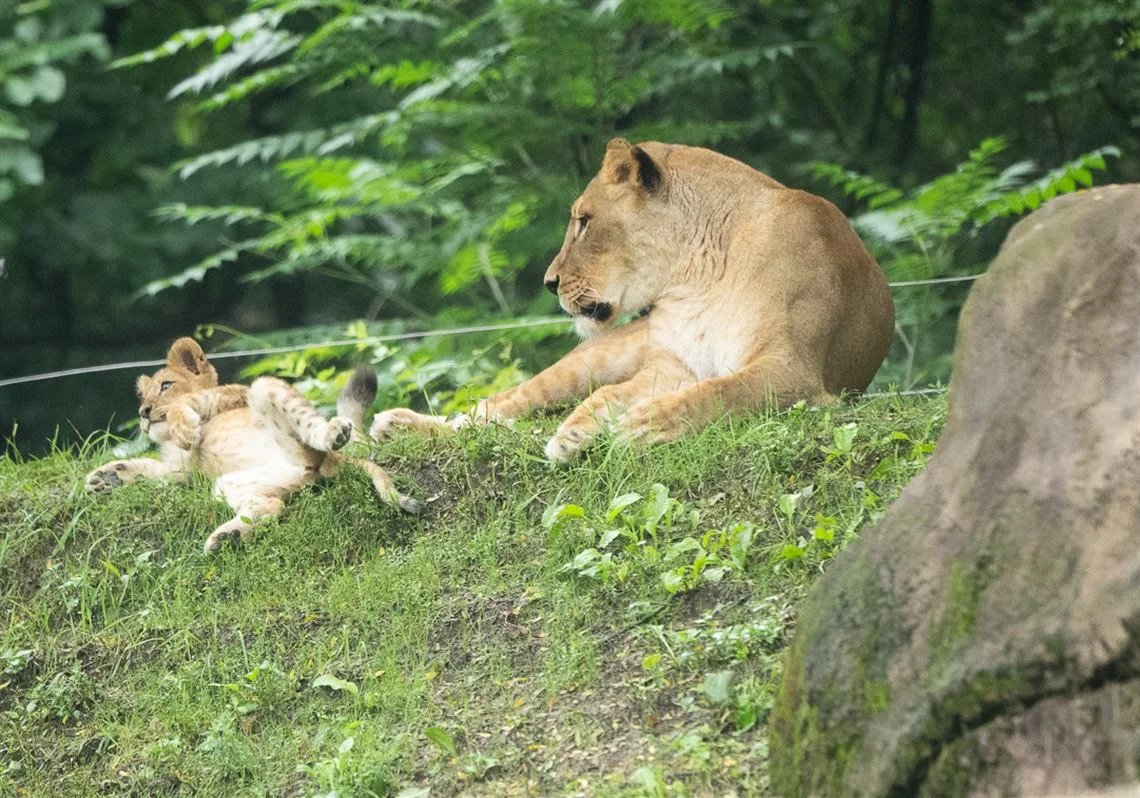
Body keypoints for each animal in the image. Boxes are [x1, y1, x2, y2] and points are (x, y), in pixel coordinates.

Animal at [85, 337, 421, 553]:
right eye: (143, 397)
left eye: (166, 385)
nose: (143, 413)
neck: (167, 440)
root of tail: (324, 464)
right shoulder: (187, 474)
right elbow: (154, 470)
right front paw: (107, 476)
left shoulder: (229, 396)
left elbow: (184, 405)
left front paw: (185, 428)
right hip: (232, 483)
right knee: (272, 505)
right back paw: (228, 537)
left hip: (265, 388)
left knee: (312, 428)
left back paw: (334, 432)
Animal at [371, 138, 895, 460]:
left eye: (584, 221)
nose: (549, 282)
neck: (694, 276)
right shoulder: (673, 365)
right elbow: (606, 395)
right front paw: (576, 432)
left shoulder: (795, 371)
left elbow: (721, 392)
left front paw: (640, 426)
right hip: (593, 357)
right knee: (489, 411)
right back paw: (398, 425)